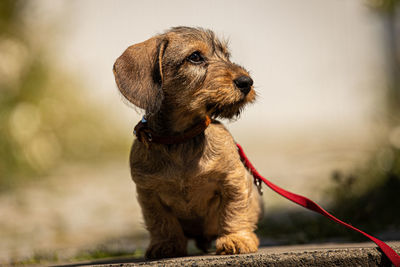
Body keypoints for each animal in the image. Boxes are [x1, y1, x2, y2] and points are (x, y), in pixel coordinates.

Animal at [113, 26, 262, 260]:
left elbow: (234, 211)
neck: (181, 139)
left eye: (226, 55)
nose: (246, 82)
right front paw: (166, 245)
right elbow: (161, 221)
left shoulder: (233, 179)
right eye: (195, 57)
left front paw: (236, 239)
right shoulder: (148, 192)